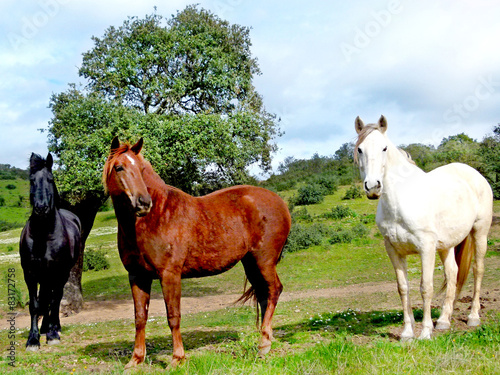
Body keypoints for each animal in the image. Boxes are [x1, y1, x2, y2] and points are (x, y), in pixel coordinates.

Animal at [19, 153, 81, 352]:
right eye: (31, 180)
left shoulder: (57, 272)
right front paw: (33, 339)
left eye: (51, 179)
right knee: (46, 298)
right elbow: (35, 305)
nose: (41, 208)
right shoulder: (30, 273)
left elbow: (54, 301)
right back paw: (45, 328)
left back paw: (54, 328)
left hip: (61, 274)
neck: (44, 234)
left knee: (56, 298)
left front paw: (53, 335)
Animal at [103, 137, 292, 368]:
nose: (143, 202)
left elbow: (173, 316)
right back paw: (265, 341)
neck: (156, 217)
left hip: (264, 261)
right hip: (250, 263)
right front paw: (136, 359)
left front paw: (177, 358)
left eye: (141, 169)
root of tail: (280, 202)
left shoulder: (169, 275)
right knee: (264, 294)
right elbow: (140, 317)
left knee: (274, 290)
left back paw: (264, 344)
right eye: (119, 167)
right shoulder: (137, 276)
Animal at [356, 114, 492, 340]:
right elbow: (403, 288)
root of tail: (474, 174)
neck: (401, 199)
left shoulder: (426, 248)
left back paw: (473, 317)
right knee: (452, 274)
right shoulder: (393, 250)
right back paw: (444, 321)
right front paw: (407, 332)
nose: (373, 186)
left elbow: (426, 287)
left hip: (479, 232)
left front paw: (426, 332)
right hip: (446, 245)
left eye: (384, 148)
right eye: (360, 149)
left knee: (478, 270)